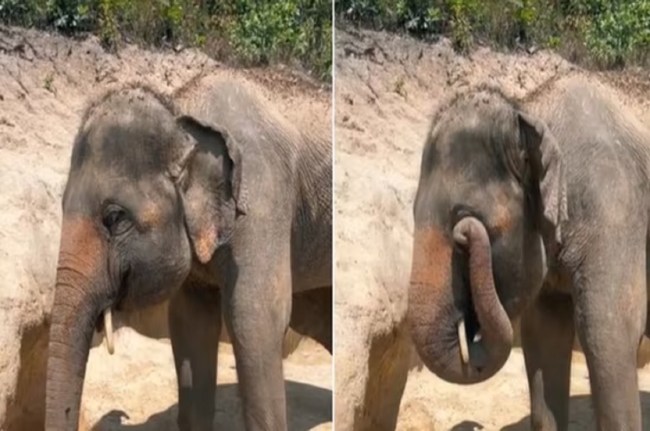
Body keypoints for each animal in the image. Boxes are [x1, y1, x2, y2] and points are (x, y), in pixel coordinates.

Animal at [45, 75, 332, 430]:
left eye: (114, 217)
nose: (121, 413)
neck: (183, 111)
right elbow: (191, 326)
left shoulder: (262, 201)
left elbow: (254, 319)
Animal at [408, 74, 650, 430]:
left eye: (465, 218)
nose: (466, 231)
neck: (530, 111)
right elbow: (544, 335)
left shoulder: (615, 210)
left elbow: (607, 335)